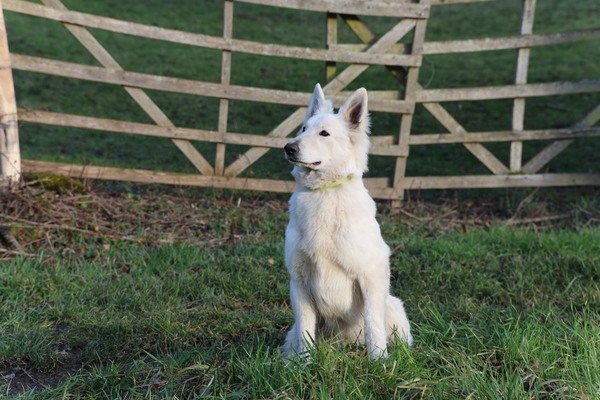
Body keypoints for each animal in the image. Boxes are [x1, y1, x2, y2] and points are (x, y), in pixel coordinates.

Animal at [282, 83, 412, 359]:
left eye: (324, 133)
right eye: (303, 129)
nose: (289, 147)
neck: (325, 191)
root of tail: (348, 344)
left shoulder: (370, 275)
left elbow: (373, 323)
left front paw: (379, 361)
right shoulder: (299, 280)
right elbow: (306, 331)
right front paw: (304, 364)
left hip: (393, 306)